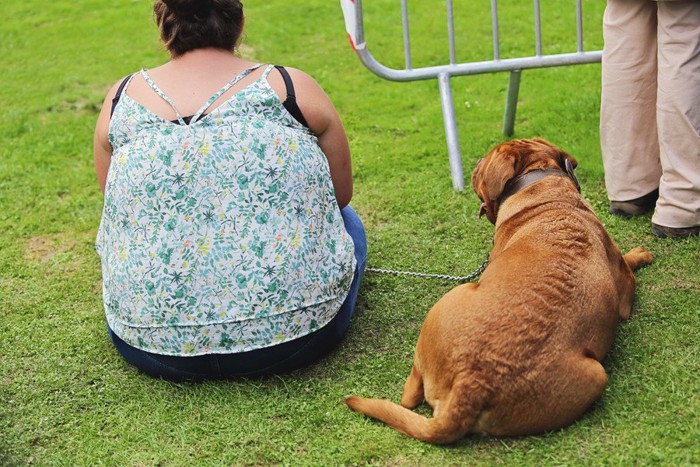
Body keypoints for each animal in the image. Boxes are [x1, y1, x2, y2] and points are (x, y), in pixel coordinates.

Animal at [348, 138, 652, 442]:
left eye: (484, 162)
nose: (476, 162)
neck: (544, 189)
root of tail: (473, 384)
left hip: (450, 300)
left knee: (408, 397)